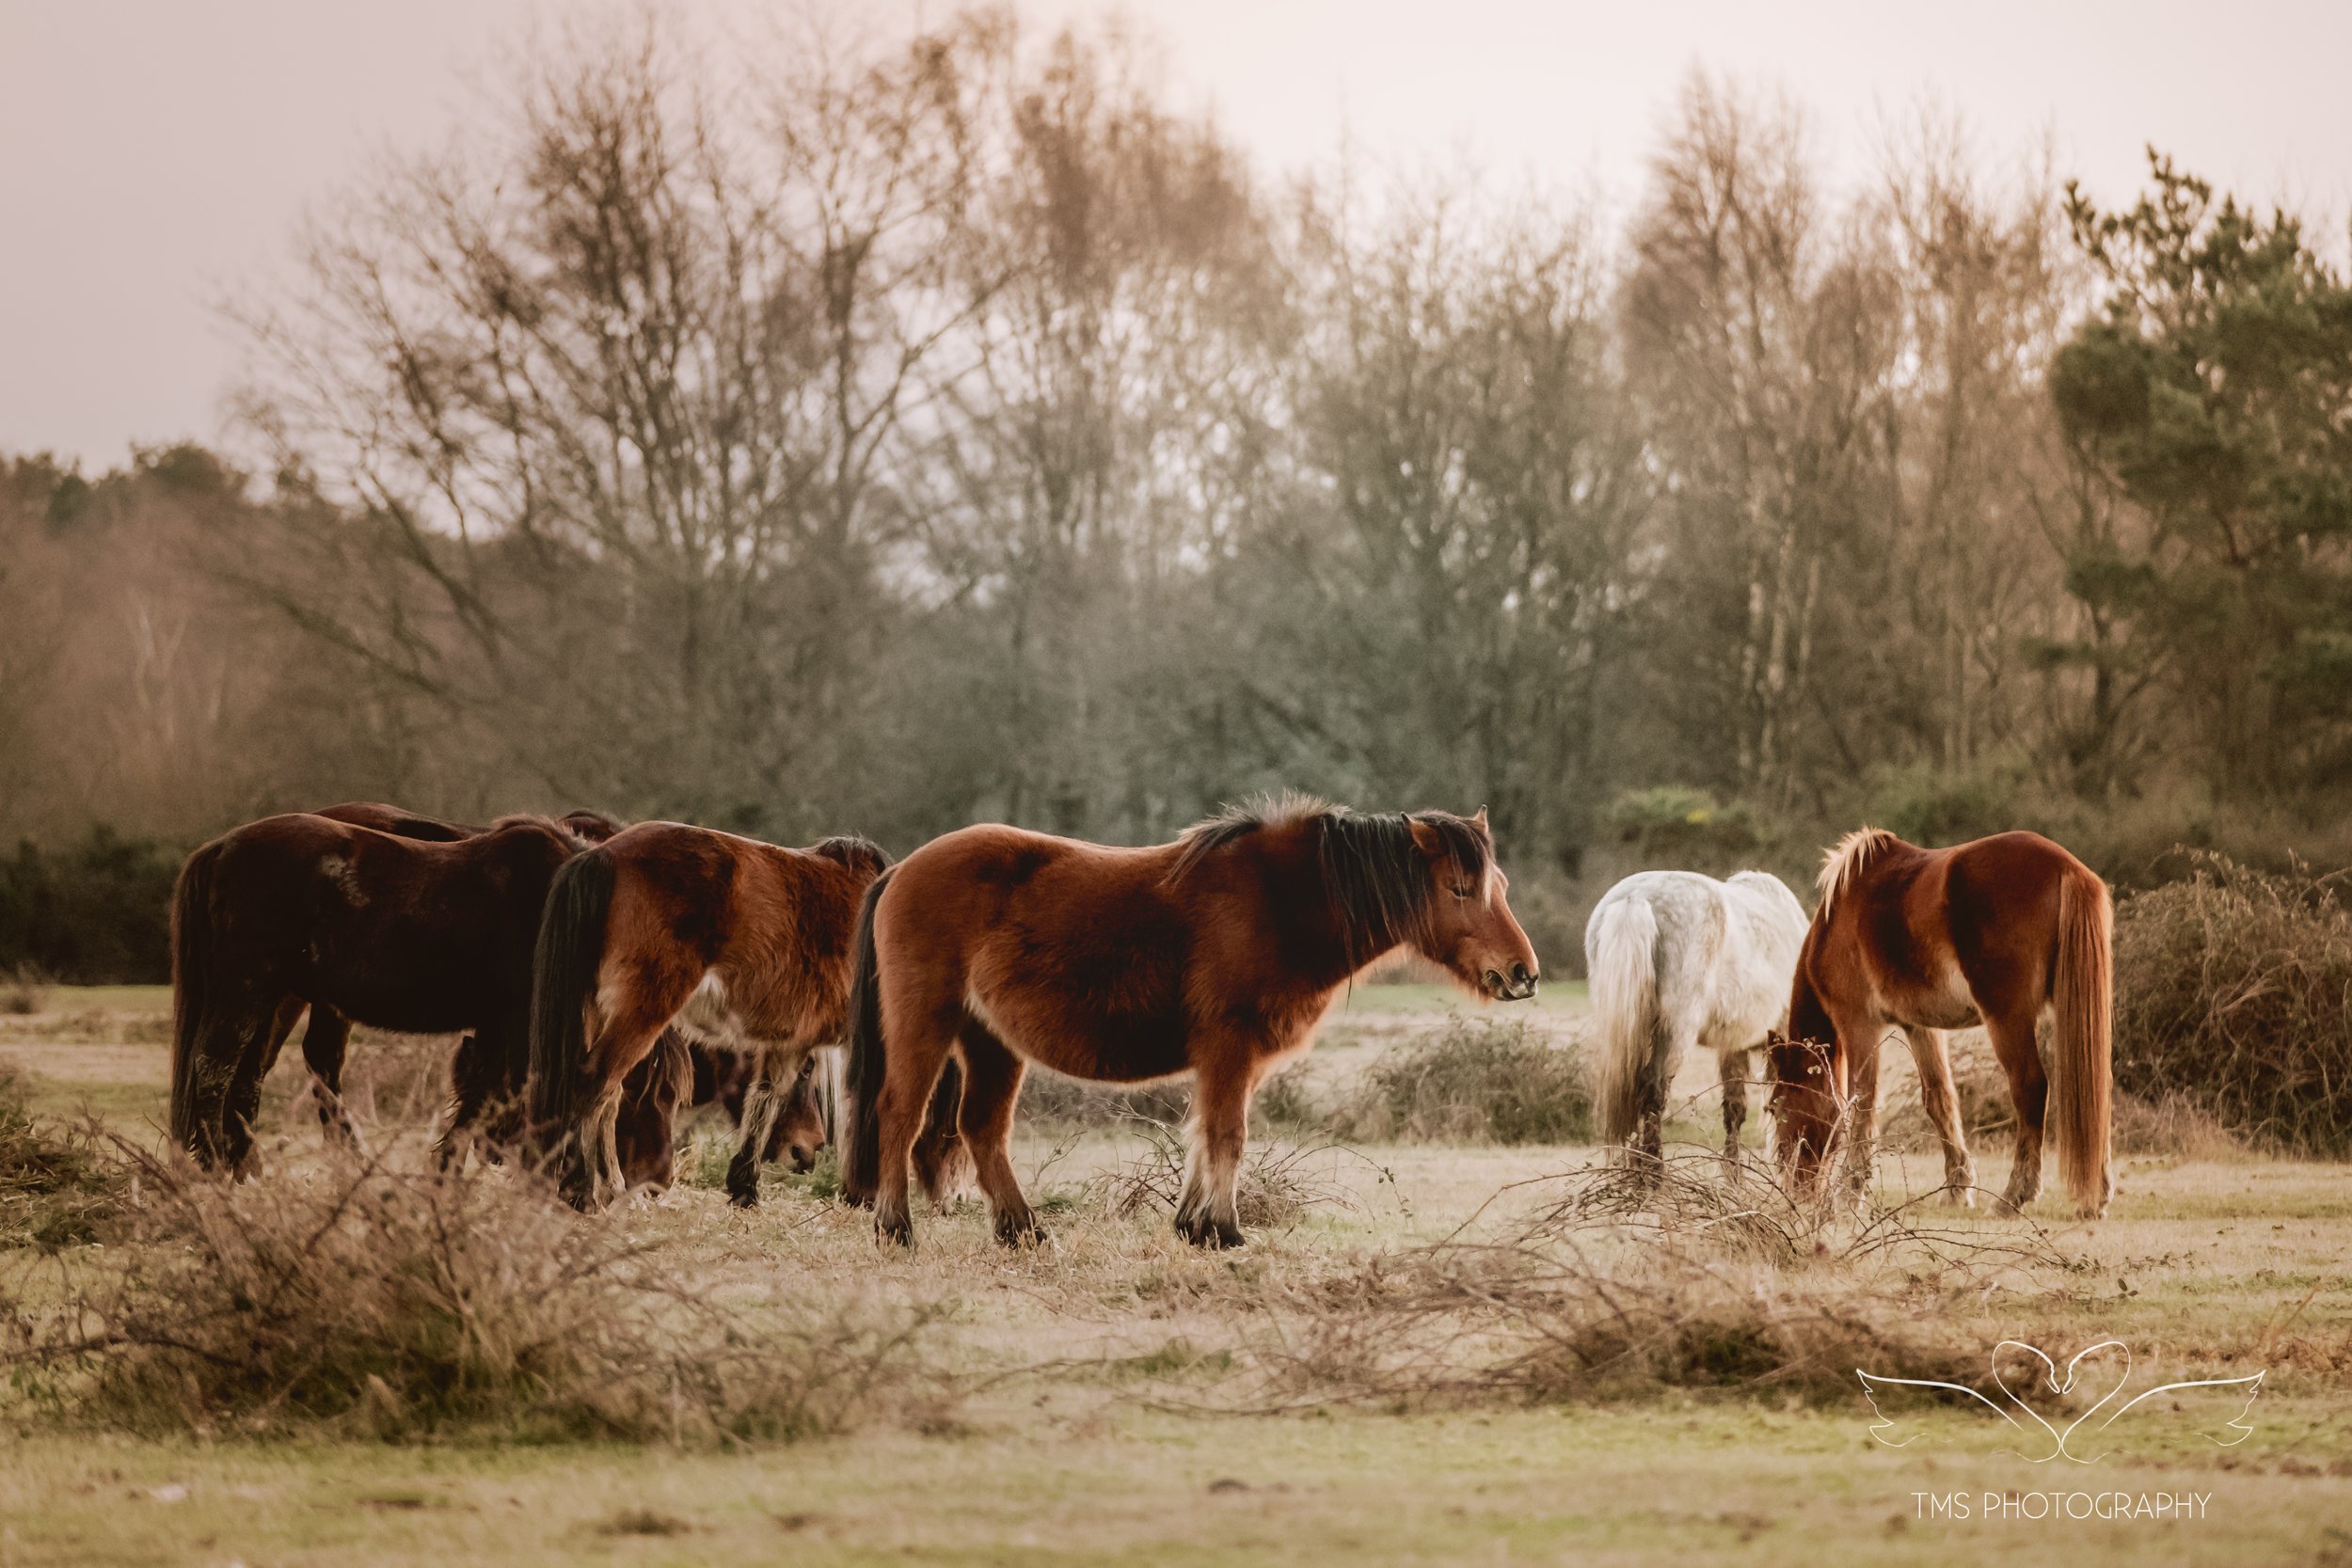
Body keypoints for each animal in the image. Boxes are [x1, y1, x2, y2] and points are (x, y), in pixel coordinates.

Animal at [169, 811, 601, 1172]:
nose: (495, 1154)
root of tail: (222, 846)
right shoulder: (517, 1021)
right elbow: (500, 1091)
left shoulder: (497, 1024)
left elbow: (483, 1090)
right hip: (247, 990)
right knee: (214, 1069)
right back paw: (219, 1167)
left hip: (270, 999)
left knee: (247, 1076)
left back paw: (244, 1169)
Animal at [525, 823, 891, 1207]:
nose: (808, 1152)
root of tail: (603, 854)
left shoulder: (790, 1041)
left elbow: (765, 1095)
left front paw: (744, 1188)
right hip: (641, 1012)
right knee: (594, 1087)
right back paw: (582, 1193)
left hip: (598, 1012)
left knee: (607, 1099)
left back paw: (613, 1190)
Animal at [841, 796, 1541, 1250]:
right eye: (1459, 889)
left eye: (1502, 885)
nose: (1524, 972)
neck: (1279, 902)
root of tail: (901, 870)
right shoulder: (1229, 1045)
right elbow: (1228, 1134)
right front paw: (1223, 1231)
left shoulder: (1237, 1058)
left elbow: (1206, 1134)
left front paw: (1193, 1225)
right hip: (925, 1024)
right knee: (898, 1114)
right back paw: (896, 1229)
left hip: (990, 1042)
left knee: (981, 1129)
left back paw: (1025, 1233)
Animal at [1586, 869, 1809, 1171]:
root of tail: (1636, 898)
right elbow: (1777, 1106)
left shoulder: (1732, 1047)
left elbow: (1735, 1109)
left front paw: (1734, 1174)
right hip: (1676, 1032)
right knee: (1653, 1092)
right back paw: (1653, 1173)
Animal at [1764, 828, 2114, 1217]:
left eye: (1775, 1108)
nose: (1795, 1191)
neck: (1838, 915)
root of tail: (2066, 867)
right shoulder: (1920, 1027)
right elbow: (1939, 1099)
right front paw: (1958, 1186)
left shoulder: (1858, 1025)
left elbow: (1861, 1102)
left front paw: (1848, 1193)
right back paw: (2095, 1198)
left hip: (2008, 1018)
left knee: (2030, 1088)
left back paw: (2014, 1195)